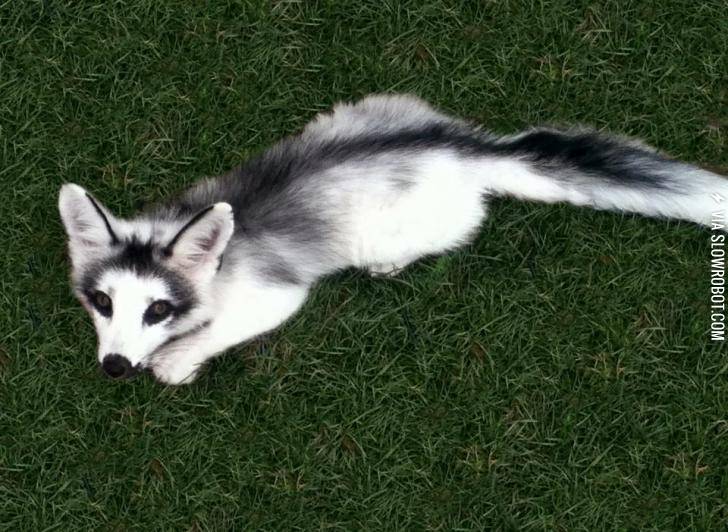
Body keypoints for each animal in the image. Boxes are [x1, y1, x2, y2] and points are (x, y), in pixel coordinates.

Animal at [59, 94, 728, 385]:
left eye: (159, 309)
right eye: (103, 302)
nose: (115, 367)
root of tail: (470, 149)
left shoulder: (277, 293)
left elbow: (222, 329)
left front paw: (178, 359)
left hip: (391, 234)